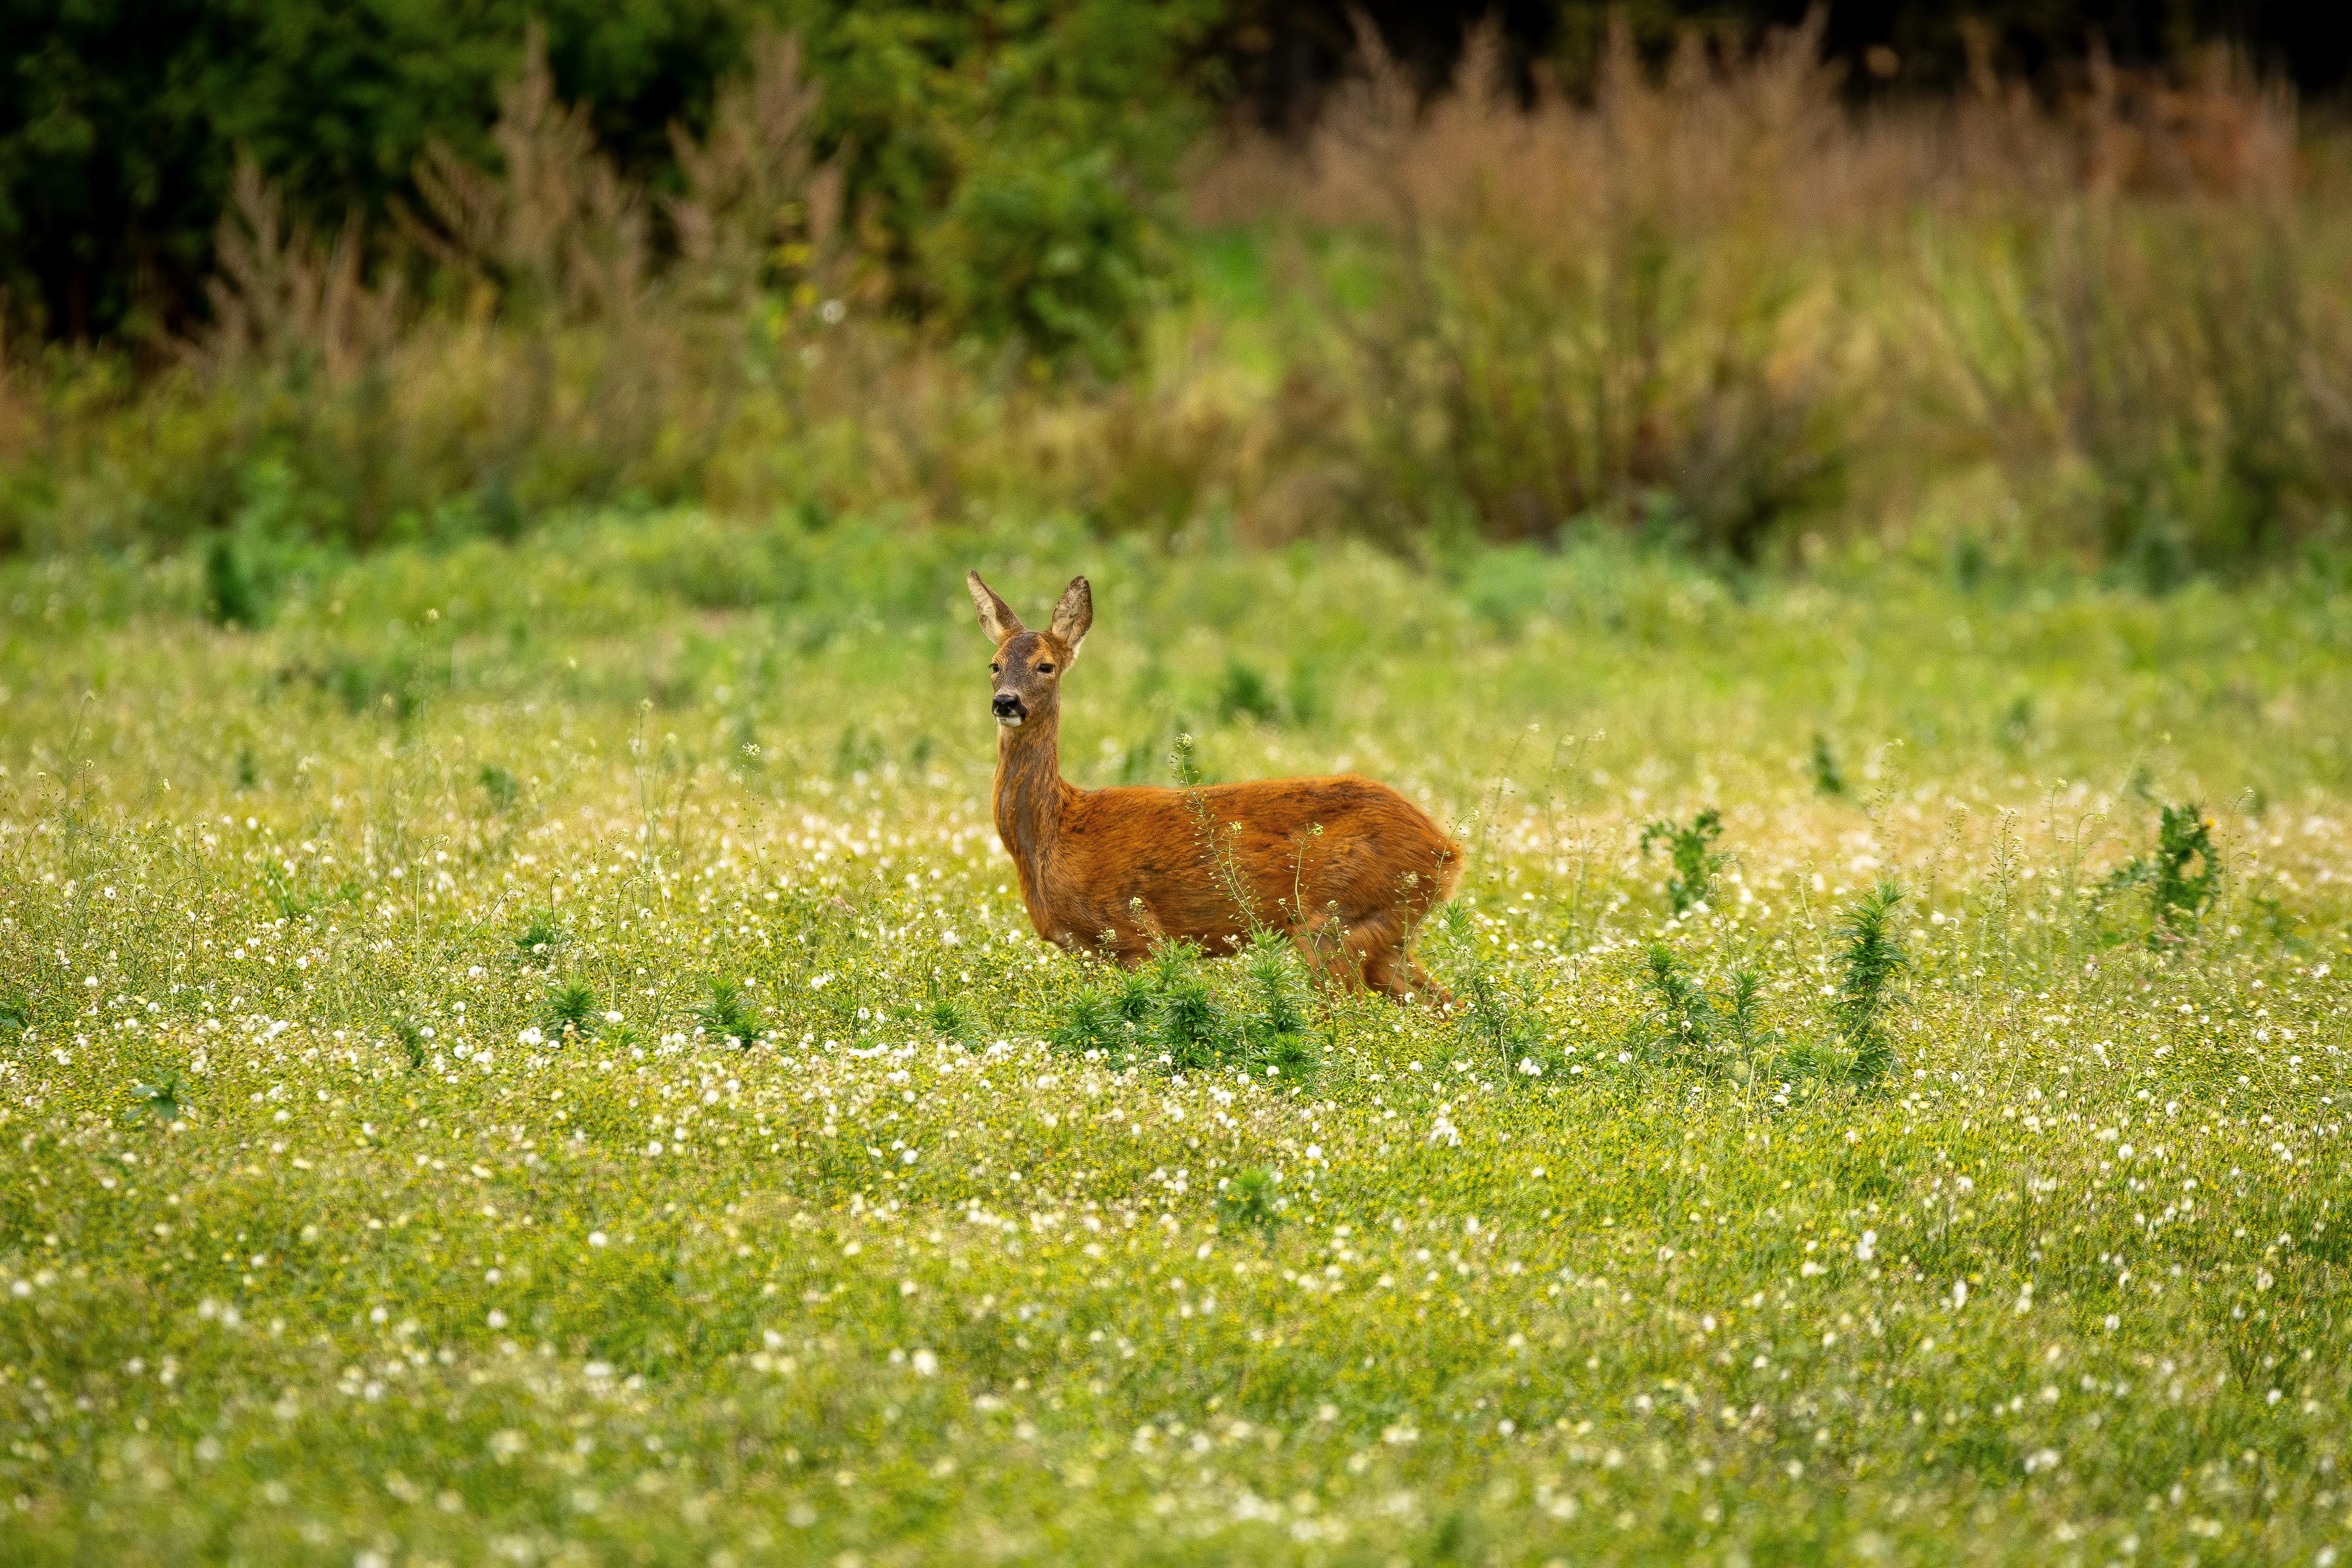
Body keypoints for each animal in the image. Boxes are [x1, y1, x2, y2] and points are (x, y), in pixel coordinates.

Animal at [966, 570, 1462, 1002]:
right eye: (994, 665)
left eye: (1045, 666)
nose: (1006, 701)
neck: (1056, 832)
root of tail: (1448, 850)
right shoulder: (1086, 951)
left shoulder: (1136, 933)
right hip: (1385, 934)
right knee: (1446, 1004)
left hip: (1336, 920)